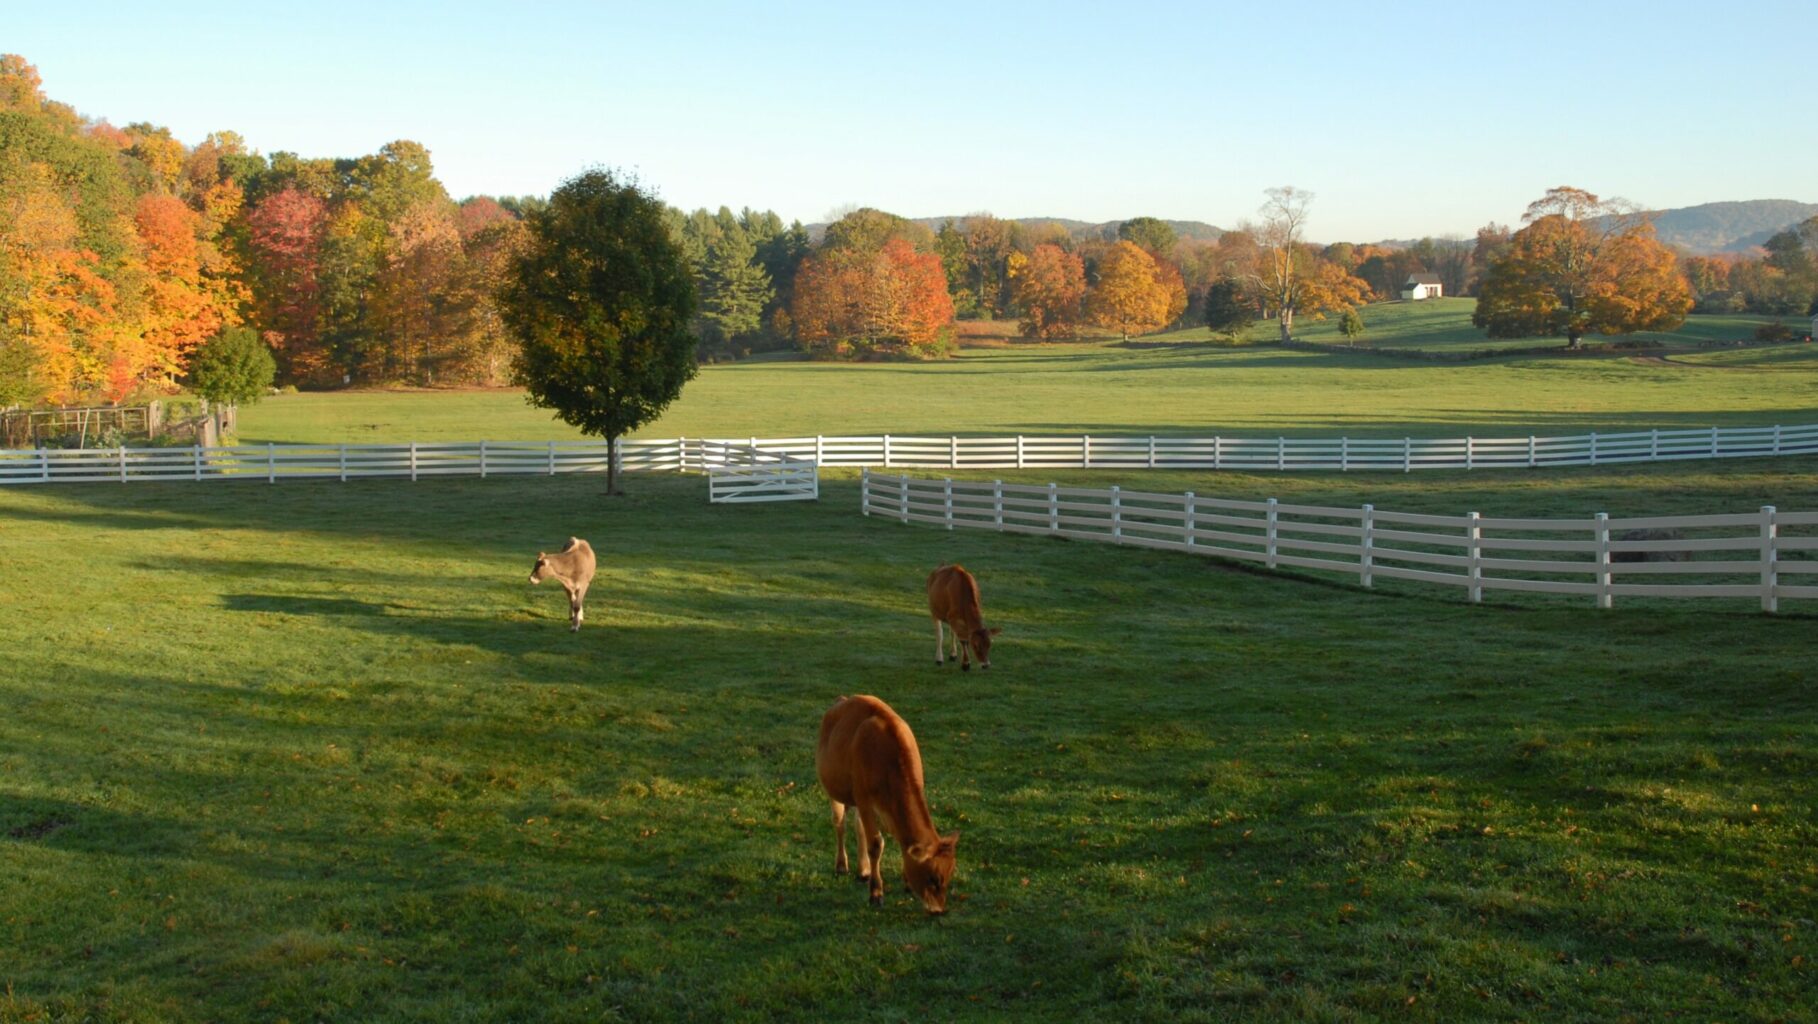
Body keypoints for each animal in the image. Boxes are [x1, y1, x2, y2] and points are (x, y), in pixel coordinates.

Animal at [818, 694, 959, 916]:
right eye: (933, 878)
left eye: (950, 876)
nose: (938, 910)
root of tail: (841, 700)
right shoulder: (865, 798)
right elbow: (876, 844)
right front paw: (876, 894)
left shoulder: (886, 806)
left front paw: (906, 882)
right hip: (836, 791)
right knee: (840, 823)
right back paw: (841, 865)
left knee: (858, 826)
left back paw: (863, 870)